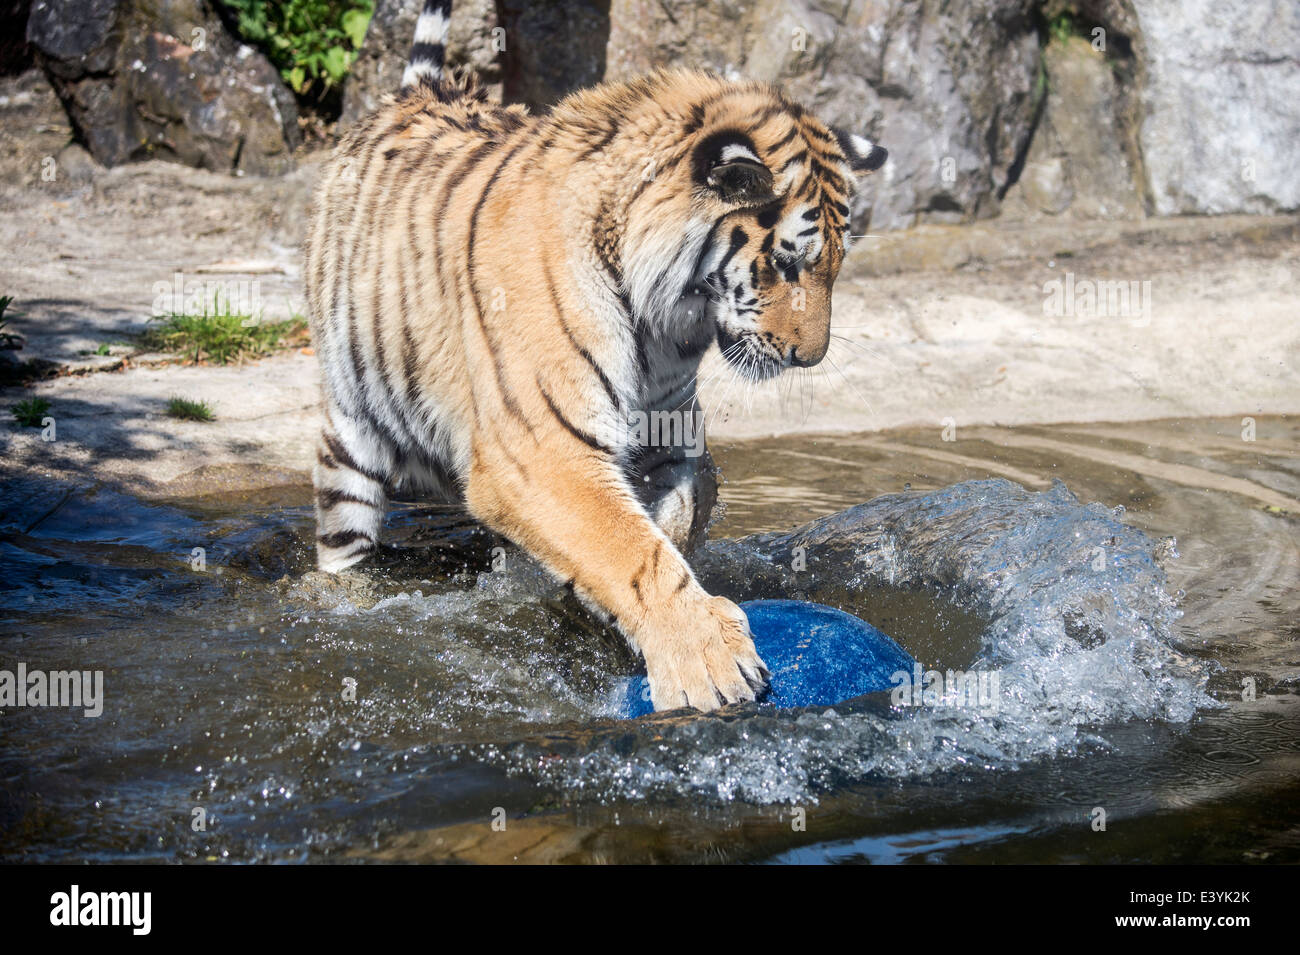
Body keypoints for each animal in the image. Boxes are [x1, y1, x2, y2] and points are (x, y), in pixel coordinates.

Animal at [304, 0, 889, 712]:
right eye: (785, 262)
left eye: (837, 262)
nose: (811, 356)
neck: (662, 323)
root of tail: (424, 92)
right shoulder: (541, 451)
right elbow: (626, 549)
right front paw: (709, 658)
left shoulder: (670, 429)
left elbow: (679, 511)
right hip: (352, 439)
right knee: (345, 539)